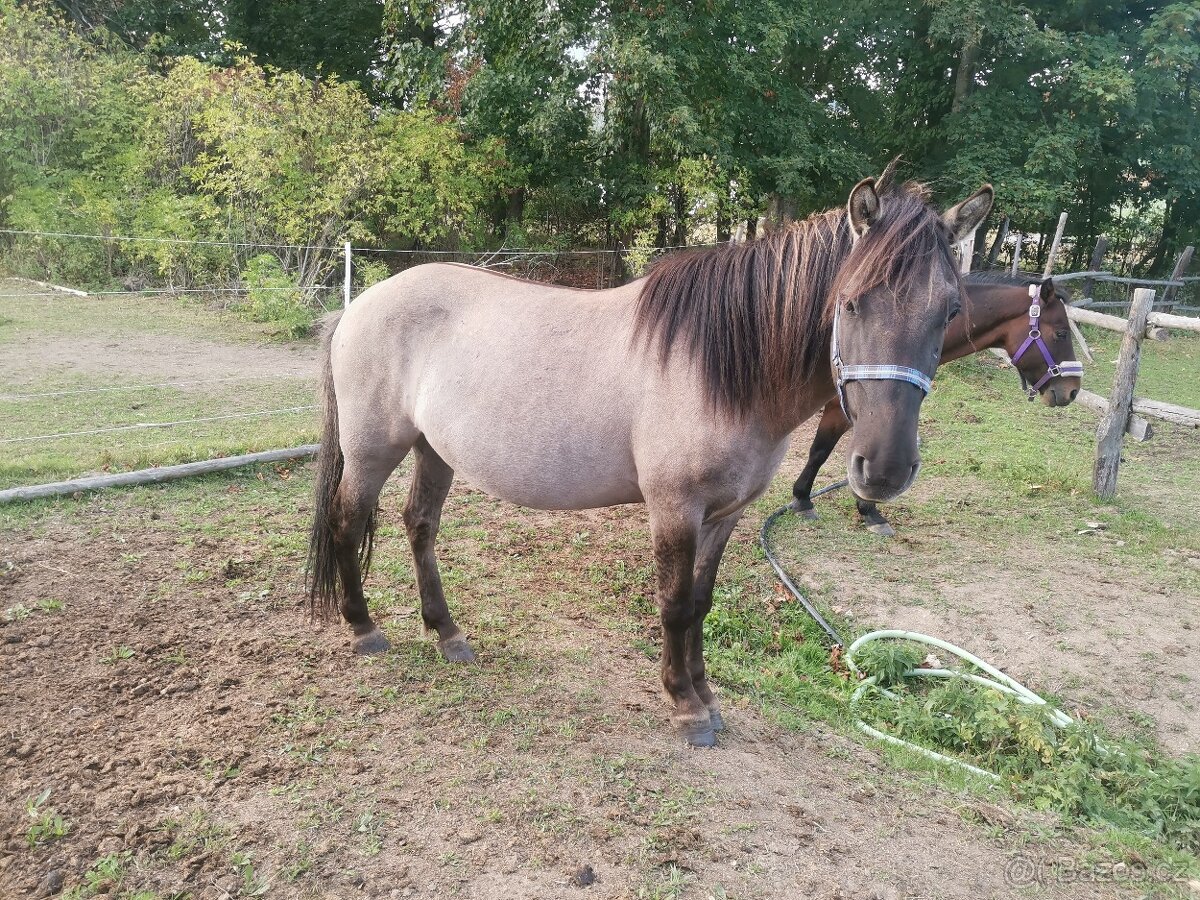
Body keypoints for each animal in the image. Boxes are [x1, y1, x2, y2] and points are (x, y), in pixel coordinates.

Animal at [306, 173, 994, 747]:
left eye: (950, 311)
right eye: (849, 302)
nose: (883, 470)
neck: (720, 368)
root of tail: (359, 305)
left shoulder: (725, 515)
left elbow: (702, 602)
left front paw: (707, 693)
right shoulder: (674, 509)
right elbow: (674, 603)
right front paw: (685, 706)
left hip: (435, 450)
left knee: (420, 525)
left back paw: (446, 633)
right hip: (373, 450)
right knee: (347, 520)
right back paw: (363, 627)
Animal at [790, 273, 1084, 535]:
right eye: (1061, 333)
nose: (1072, 390)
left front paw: (867, 509)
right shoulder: (840, 412)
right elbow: (822, 452)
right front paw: (807, 500)